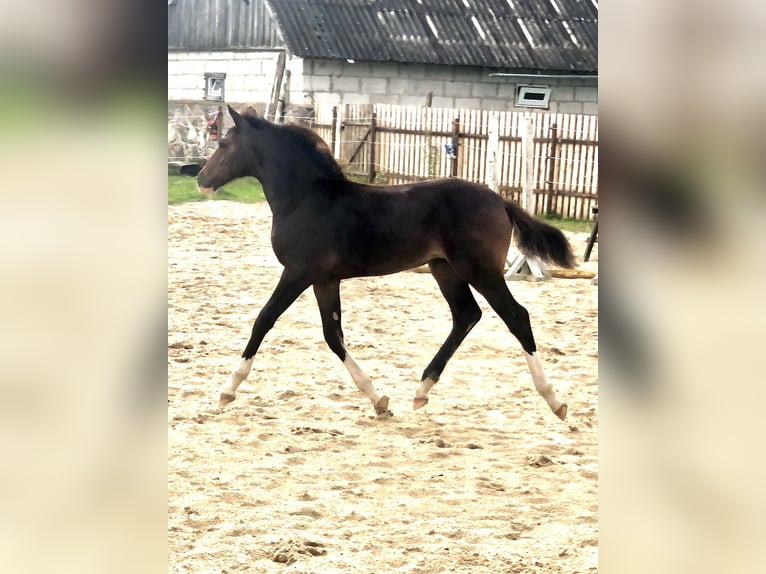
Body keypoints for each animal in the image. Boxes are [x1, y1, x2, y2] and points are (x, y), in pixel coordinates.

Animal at [198, 106, 576, 420]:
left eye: (225, 143)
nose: (201, 179)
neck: (305, 198)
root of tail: (499, 200)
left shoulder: (298, 273)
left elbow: (264, 320)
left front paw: (227, 391)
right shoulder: (324, 279)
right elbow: (333, 335)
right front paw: (378, 400)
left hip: (480, 270)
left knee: (516, 316)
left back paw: (554, 400)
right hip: (445, 269)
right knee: (466, 315)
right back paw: (421, 391)